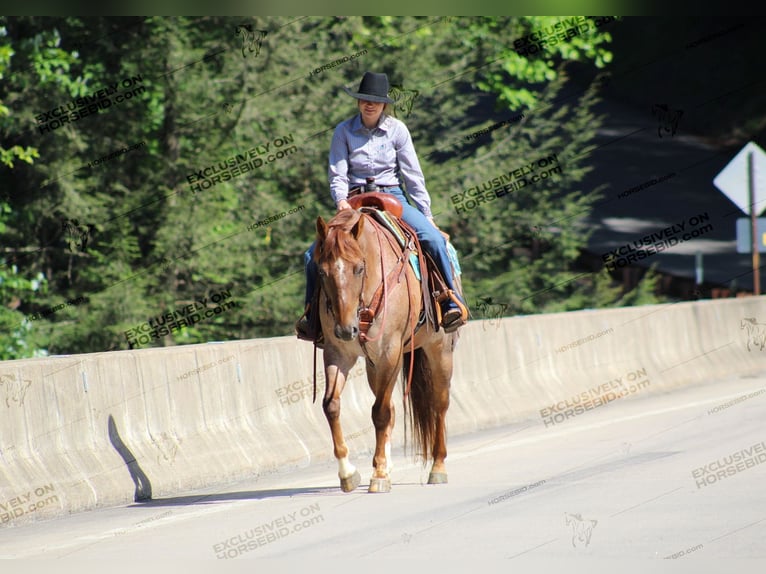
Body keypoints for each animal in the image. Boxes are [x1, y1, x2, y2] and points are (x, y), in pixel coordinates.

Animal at [314, 207, 460, 496]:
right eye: (321, 272)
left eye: (359, 268)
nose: (346, 329)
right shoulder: (338, 353)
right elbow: (332, 405)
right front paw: (348, 473)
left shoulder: (388, 352)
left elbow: (380, 413)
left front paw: (379, 474)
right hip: (374, 366)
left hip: (439, 349)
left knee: (439, 404)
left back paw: (438, 467)